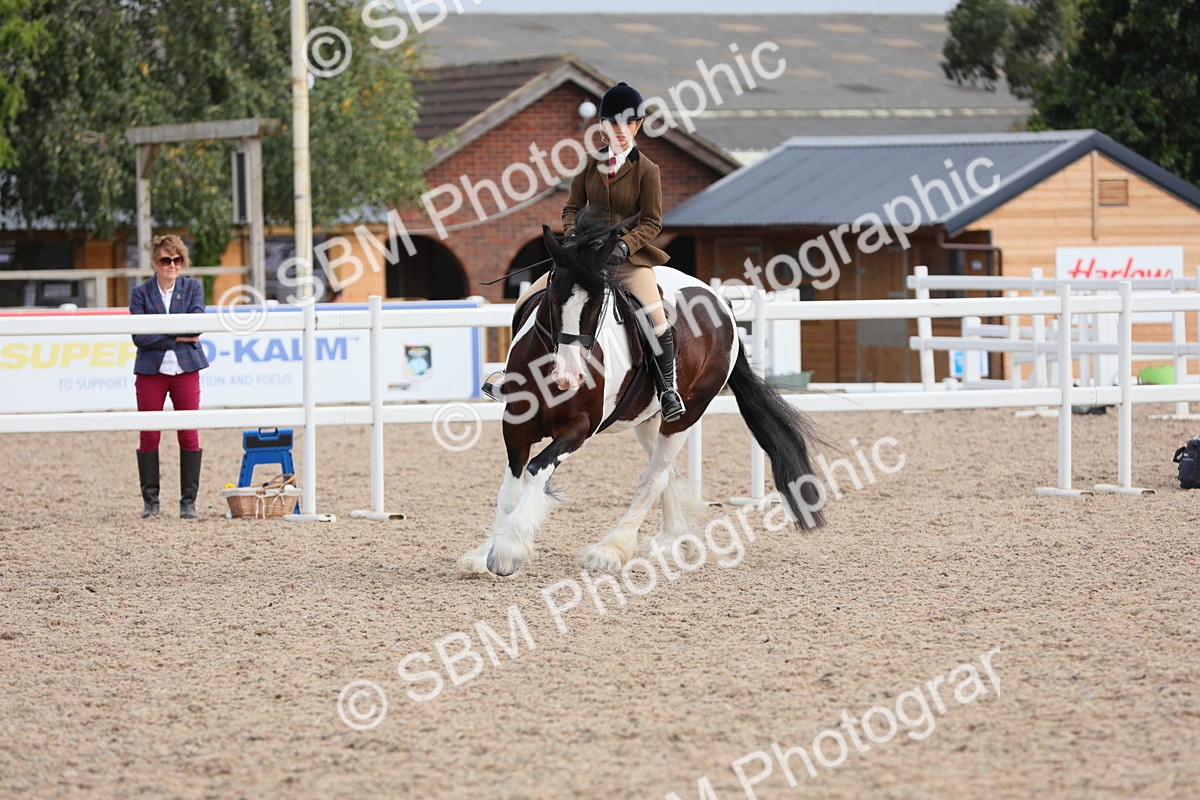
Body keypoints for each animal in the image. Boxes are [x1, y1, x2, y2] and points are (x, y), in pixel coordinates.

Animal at [459, 212, 825, 578]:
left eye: (597, 305)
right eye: (552, 296)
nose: (568, 377)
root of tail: (721, 302)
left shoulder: (578, 428)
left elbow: (536, 470)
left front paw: (508, 549)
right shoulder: (515, 423)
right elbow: (510, 488)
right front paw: (485, 552)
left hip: (685, 415)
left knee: (654, 477)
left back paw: (611, 549)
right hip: (647, 419)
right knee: (666, 474)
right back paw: (672, 541)